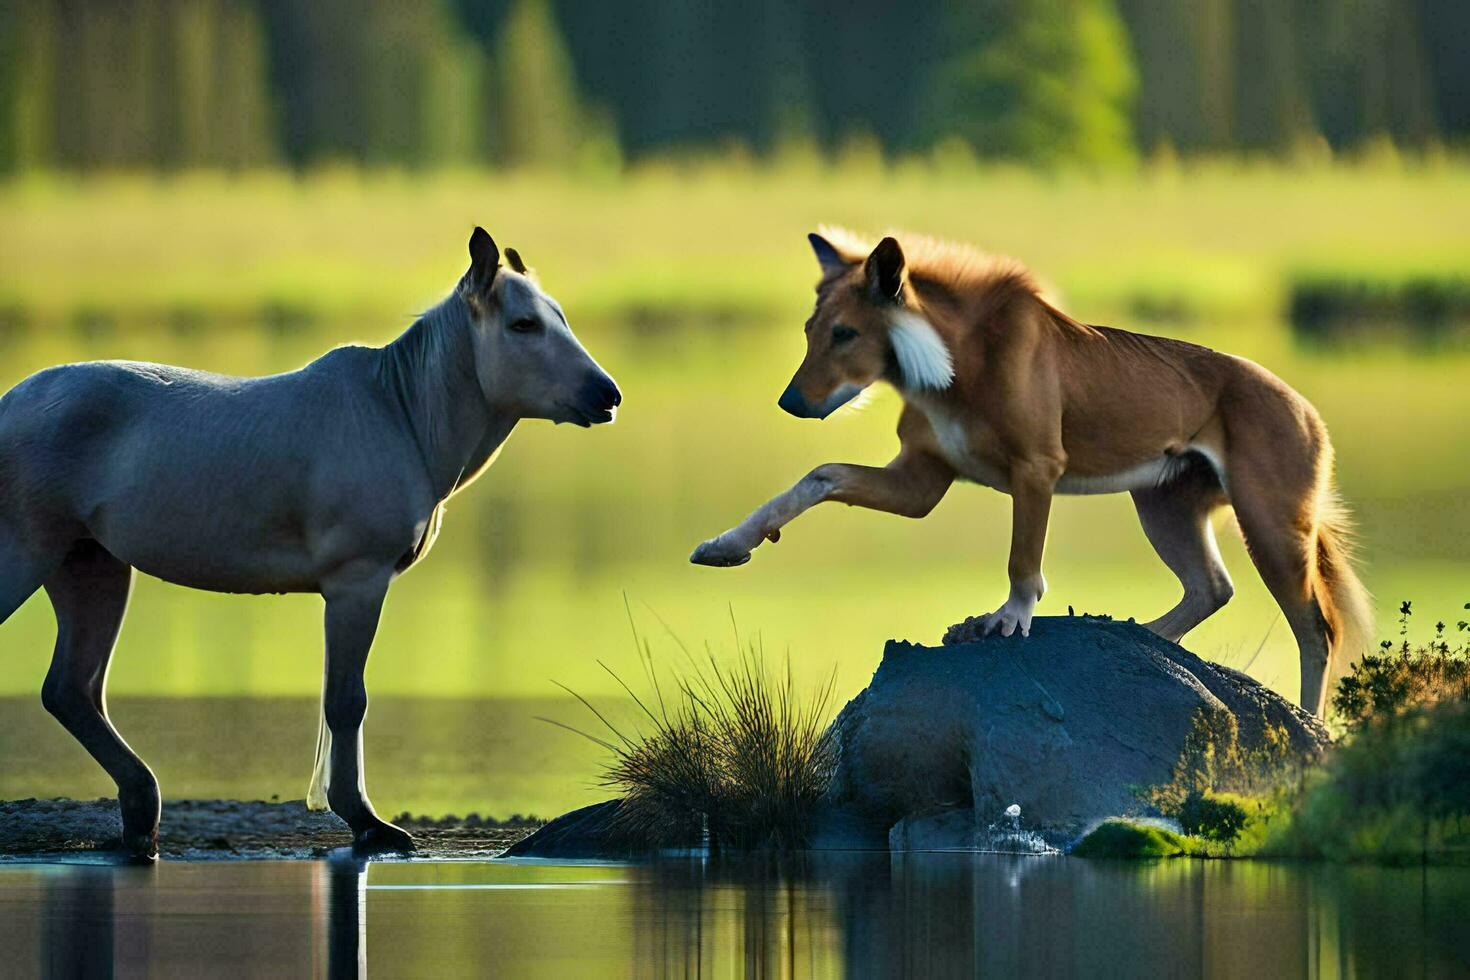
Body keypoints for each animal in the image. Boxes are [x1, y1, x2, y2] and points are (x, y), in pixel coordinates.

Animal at [0, 230, 617, 858]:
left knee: (72, 690)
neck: (402, 415)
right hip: (28, 554)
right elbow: (346, 700)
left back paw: (141, 814)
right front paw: (365, 820)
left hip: (90, 563)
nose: (606, 393)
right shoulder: (356, 580)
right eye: (523, 324)